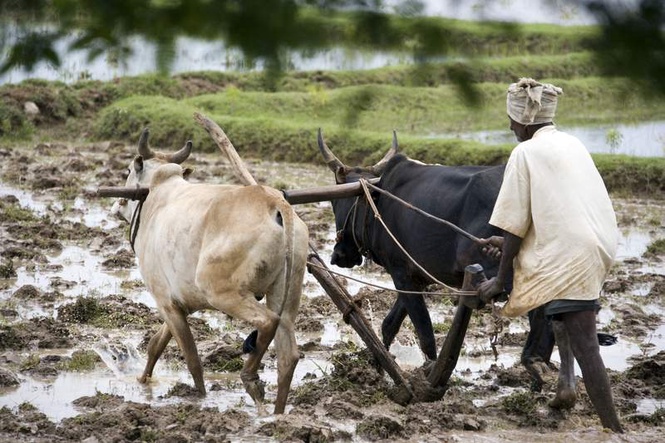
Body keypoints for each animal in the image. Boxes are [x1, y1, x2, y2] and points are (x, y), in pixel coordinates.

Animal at [112, 128, 309, 414]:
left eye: (127, 170)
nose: (117, 205)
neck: (155, 196)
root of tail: (274, 202)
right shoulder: (179, 303)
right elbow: (155, 345)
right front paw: (142, 383)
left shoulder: (165, 300)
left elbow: (192, 359)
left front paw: (201, 400)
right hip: (285, 294)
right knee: (288, 356)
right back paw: (277, 415)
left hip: (221, 291)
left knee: (267, 322)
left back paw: (250, 379)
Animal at [317, 130, 556, 389]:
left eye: (335, 201)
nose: (339, 255)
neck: (377, 201)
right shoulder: (417, 278)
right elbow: (389, 325)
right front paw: (379, 371)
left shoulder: (402, 274)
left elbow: (424, 331)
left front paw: (427, 376)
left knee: (541, 311)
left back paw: (536, 365)